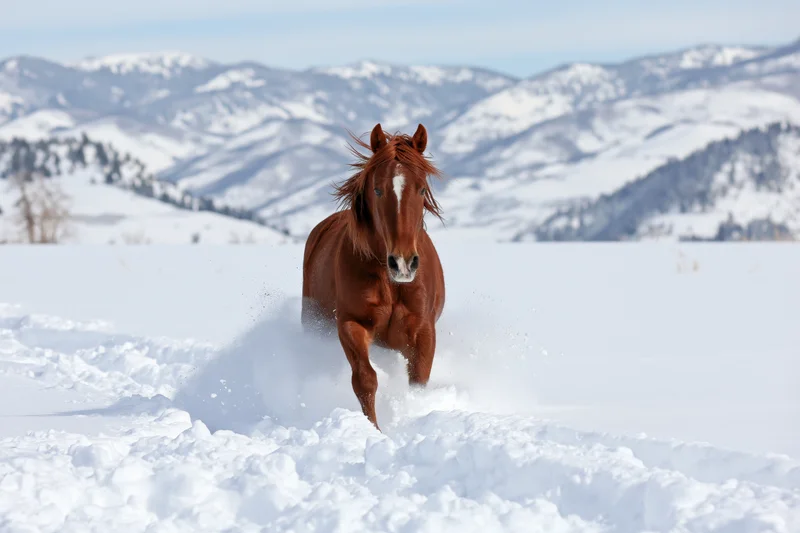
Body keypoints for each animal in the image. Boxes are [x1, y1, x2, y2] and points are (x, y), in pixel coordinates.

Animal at [301, 122, 446, 431]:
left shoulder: (423, 331)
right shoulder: (351, 323)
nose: (403, 263)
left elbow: (418, 383)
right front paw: (375, 431)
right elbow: (365, 380)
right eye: (378, 190)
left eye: (421, 188)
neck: (390, 283)